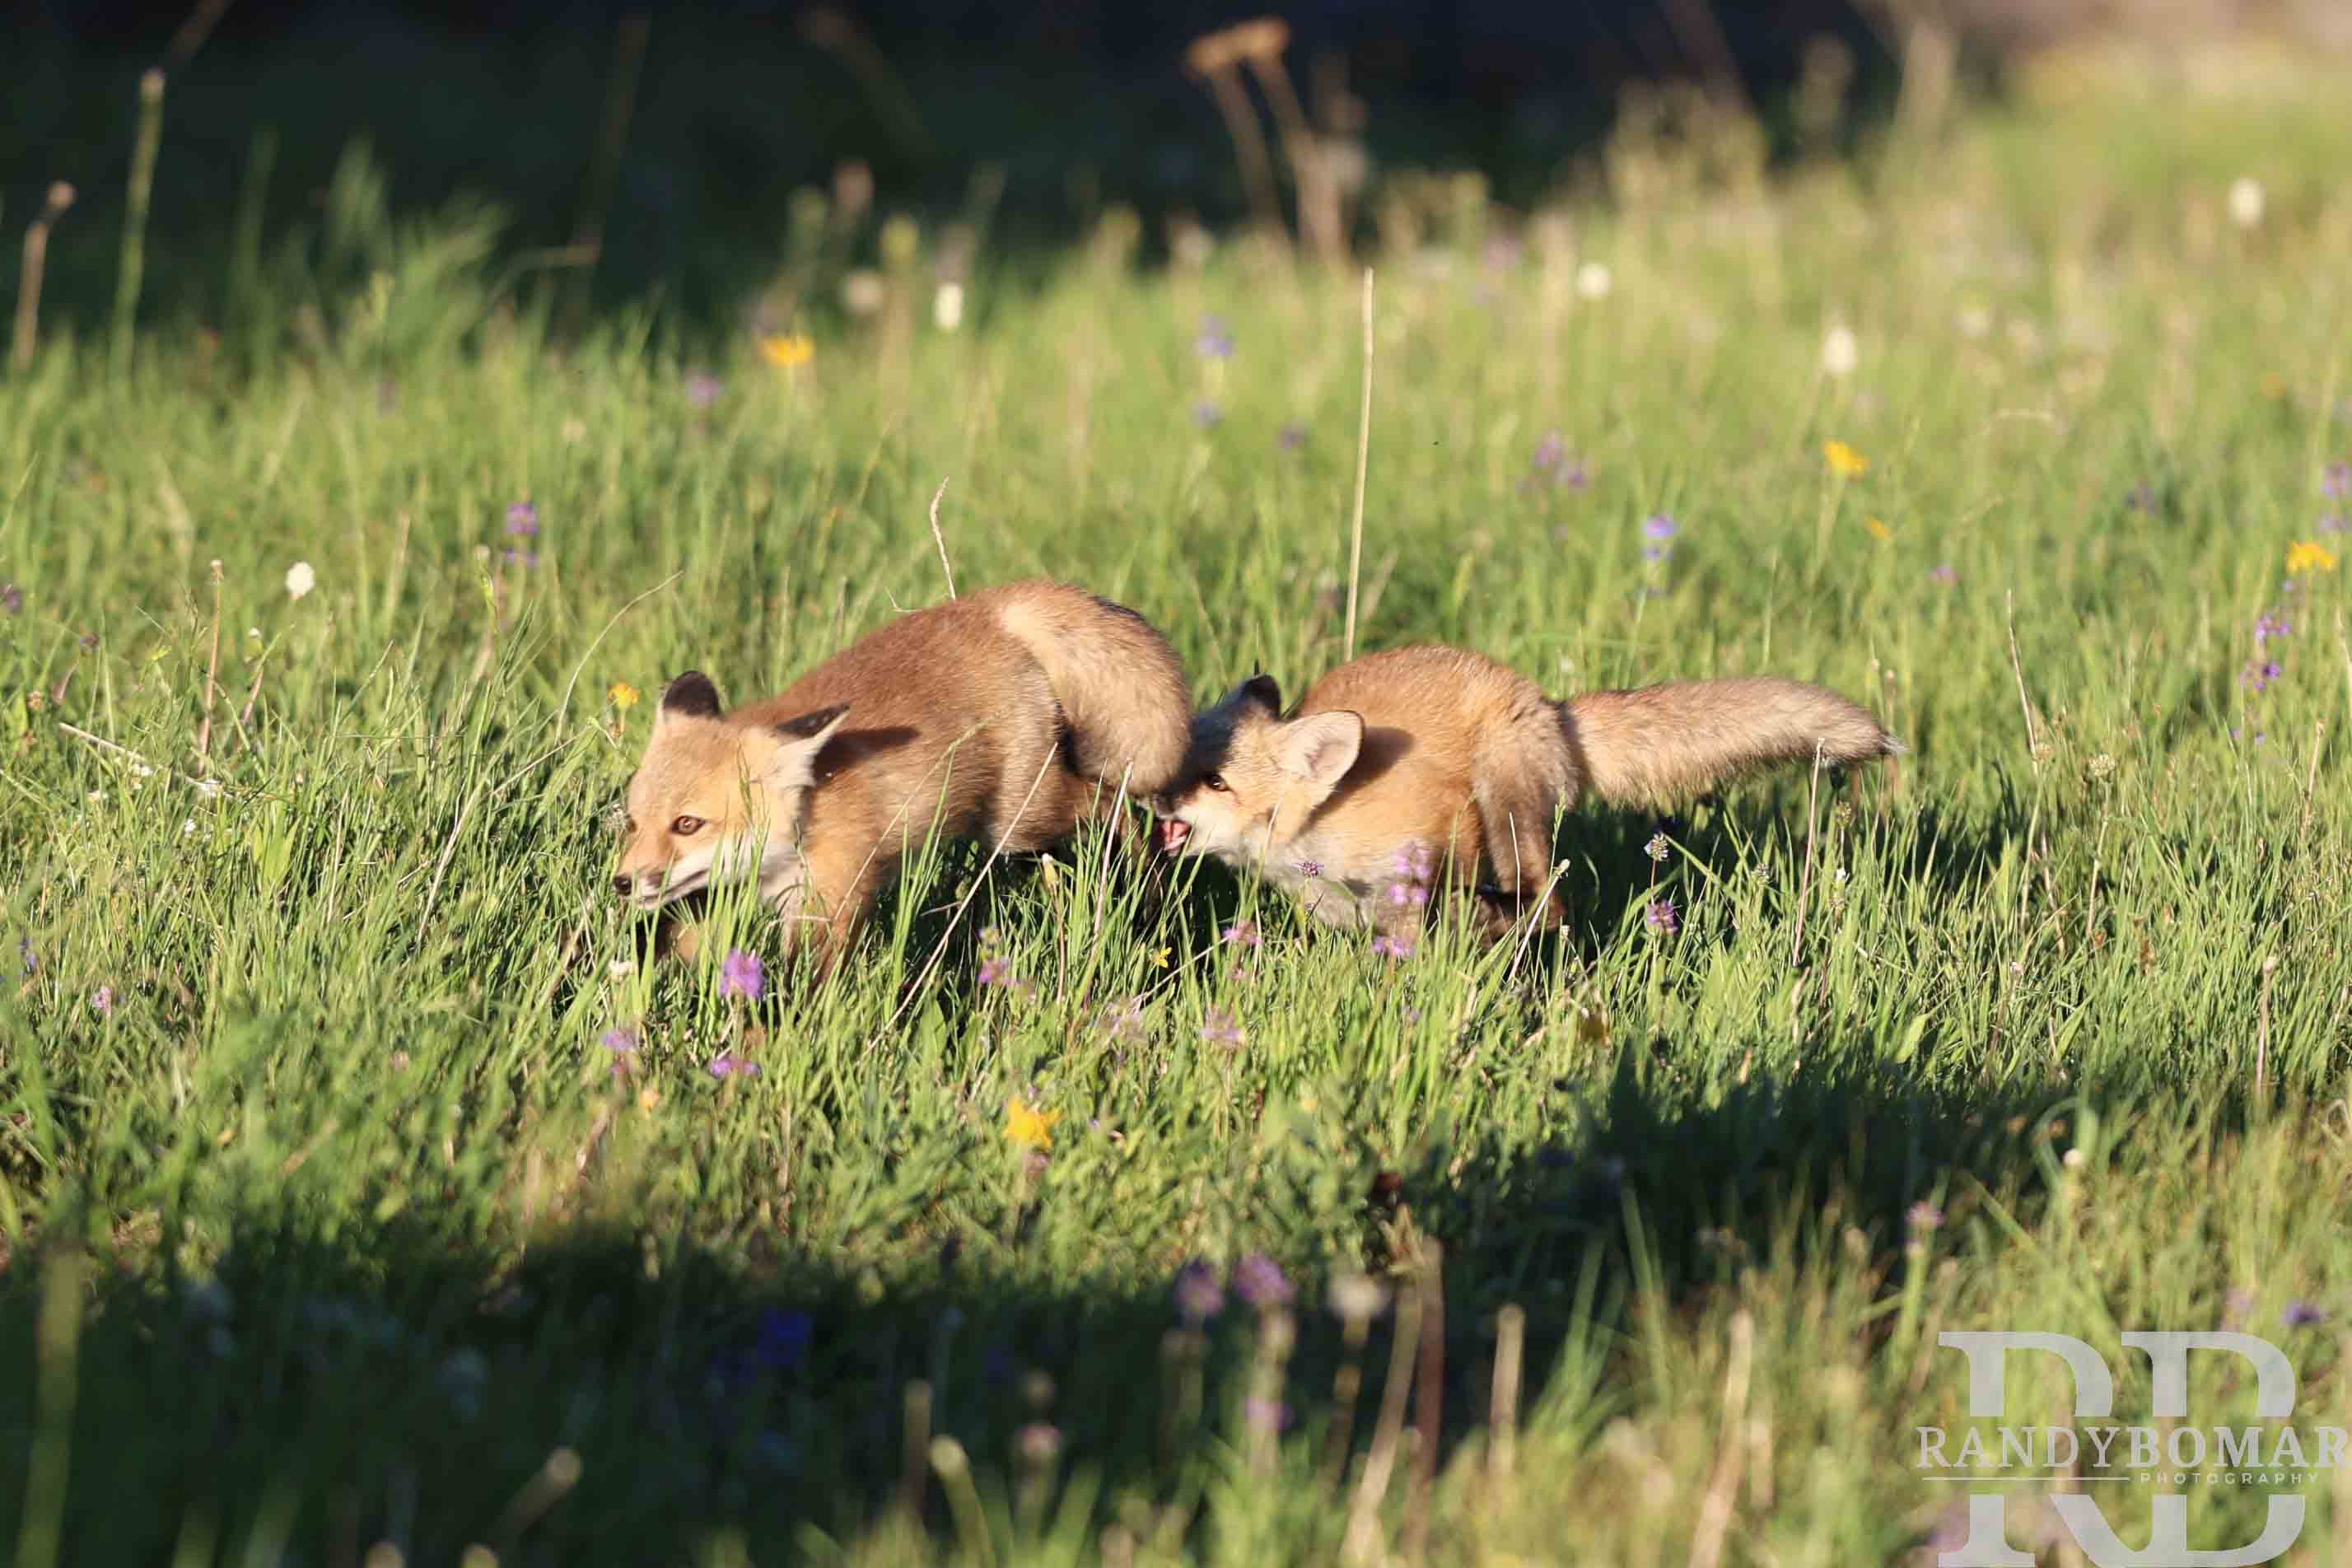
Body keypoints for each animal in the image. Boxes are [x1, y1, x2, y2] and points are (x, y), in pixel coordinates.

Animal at [613, 579, 1191, 975]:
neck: (808, 814)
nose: (621, 883)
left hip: (1021, 820)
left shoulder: (831, 903)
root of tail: (993, 605)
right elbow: (671, 944)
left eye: (688, 824)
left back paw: (1150, 887)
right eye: (632, 822)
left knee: (1109, 803)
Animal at [1152, 645, 1900, 939]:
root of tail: (1549, 705)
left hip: (1506, 802)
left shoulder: (1440, 825)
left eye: (1215, 781)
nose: (1155, 797)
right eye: (1184, 760)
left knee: (1549, 902)